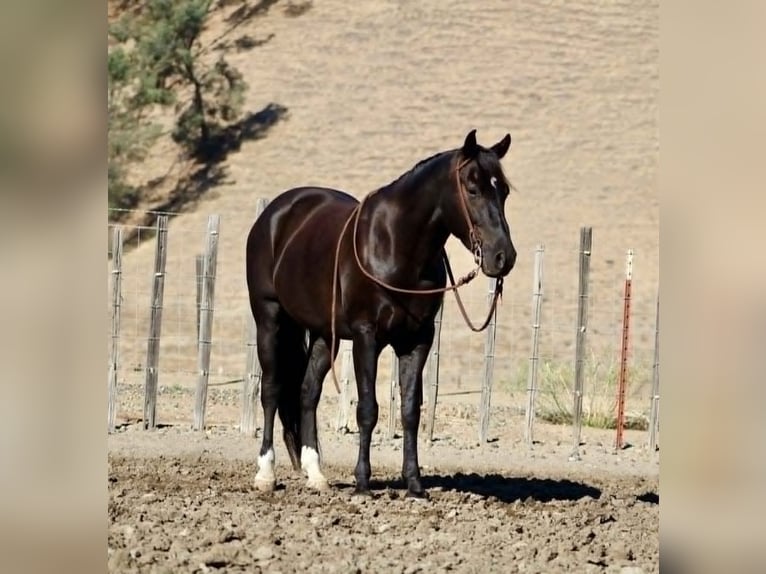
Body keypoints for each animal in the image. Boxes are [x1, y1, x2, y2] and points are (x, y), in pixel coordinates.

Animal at [245, 129, 517, 498]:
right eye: (472, 189)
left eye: (503, 191)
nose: (503, 256)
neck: (396, 244)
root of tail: (274, 214)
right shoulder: (366, 336)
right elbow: (367, 409)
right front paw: (363, 483)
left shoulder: (418, 340)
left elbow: (410, 410)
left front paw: (414, 484)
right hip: (269, 319)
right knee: (272, 389)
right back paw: (266, 474)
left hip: (323, 334)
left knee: (307, 392)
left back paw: (316, 474)